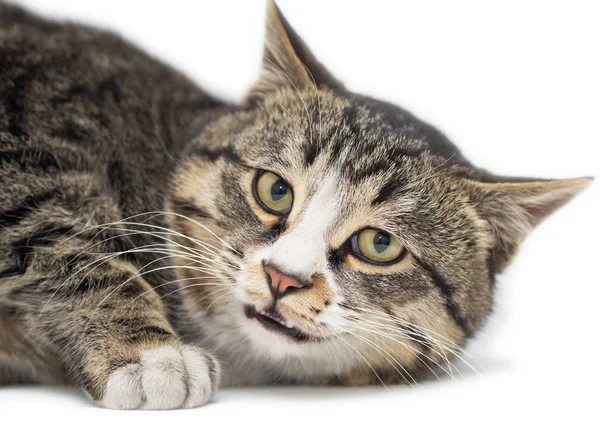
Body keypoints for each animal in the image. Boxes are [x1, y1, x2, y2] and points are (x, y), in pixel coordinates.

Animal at [0, 0, 592, 412]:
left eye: (380, 244)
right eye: (275, 190)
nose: (284, 277)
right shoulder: (23, 158)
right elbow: (64, 234)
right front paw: (150, 354)